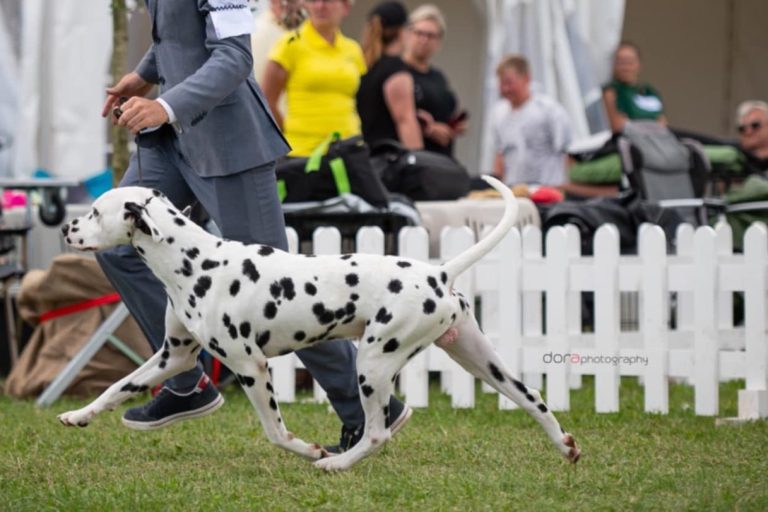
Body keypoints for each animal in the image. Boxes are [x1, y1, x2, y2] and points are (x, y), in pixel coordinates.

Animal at [60, 177, 580, 472]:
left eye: (95, 212)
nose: (66, 228)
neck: (194, 261)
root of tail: (438, 273)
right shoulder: (174, 355)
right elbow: (118, 388)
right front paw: (78, 415)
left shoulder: (250, 367)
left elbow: (275, 432)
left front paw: (311, 452)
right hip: (481, 362)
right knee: (535, 400)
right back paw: (566, 447)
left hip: (373, 363)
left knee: (376, 433)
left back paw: (337, 465)